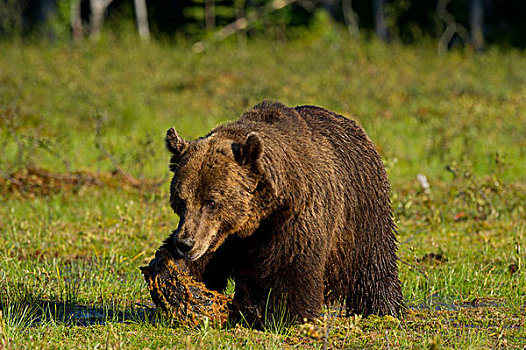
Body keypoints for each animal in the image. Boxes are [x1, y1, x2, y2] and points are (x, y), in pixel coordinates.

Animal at [159, 100, 406, 324]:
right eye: (180, 200)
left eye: (211, 202)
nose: (185, 243)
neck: (255, 219)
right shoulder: (225, 238)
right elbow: (203, 264)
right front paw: (173, 278)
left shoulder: (293, 218)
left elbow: (291, 270)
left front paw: (284, 316)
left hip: (361, 213)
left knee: (374, 268)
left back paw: (384, 310)